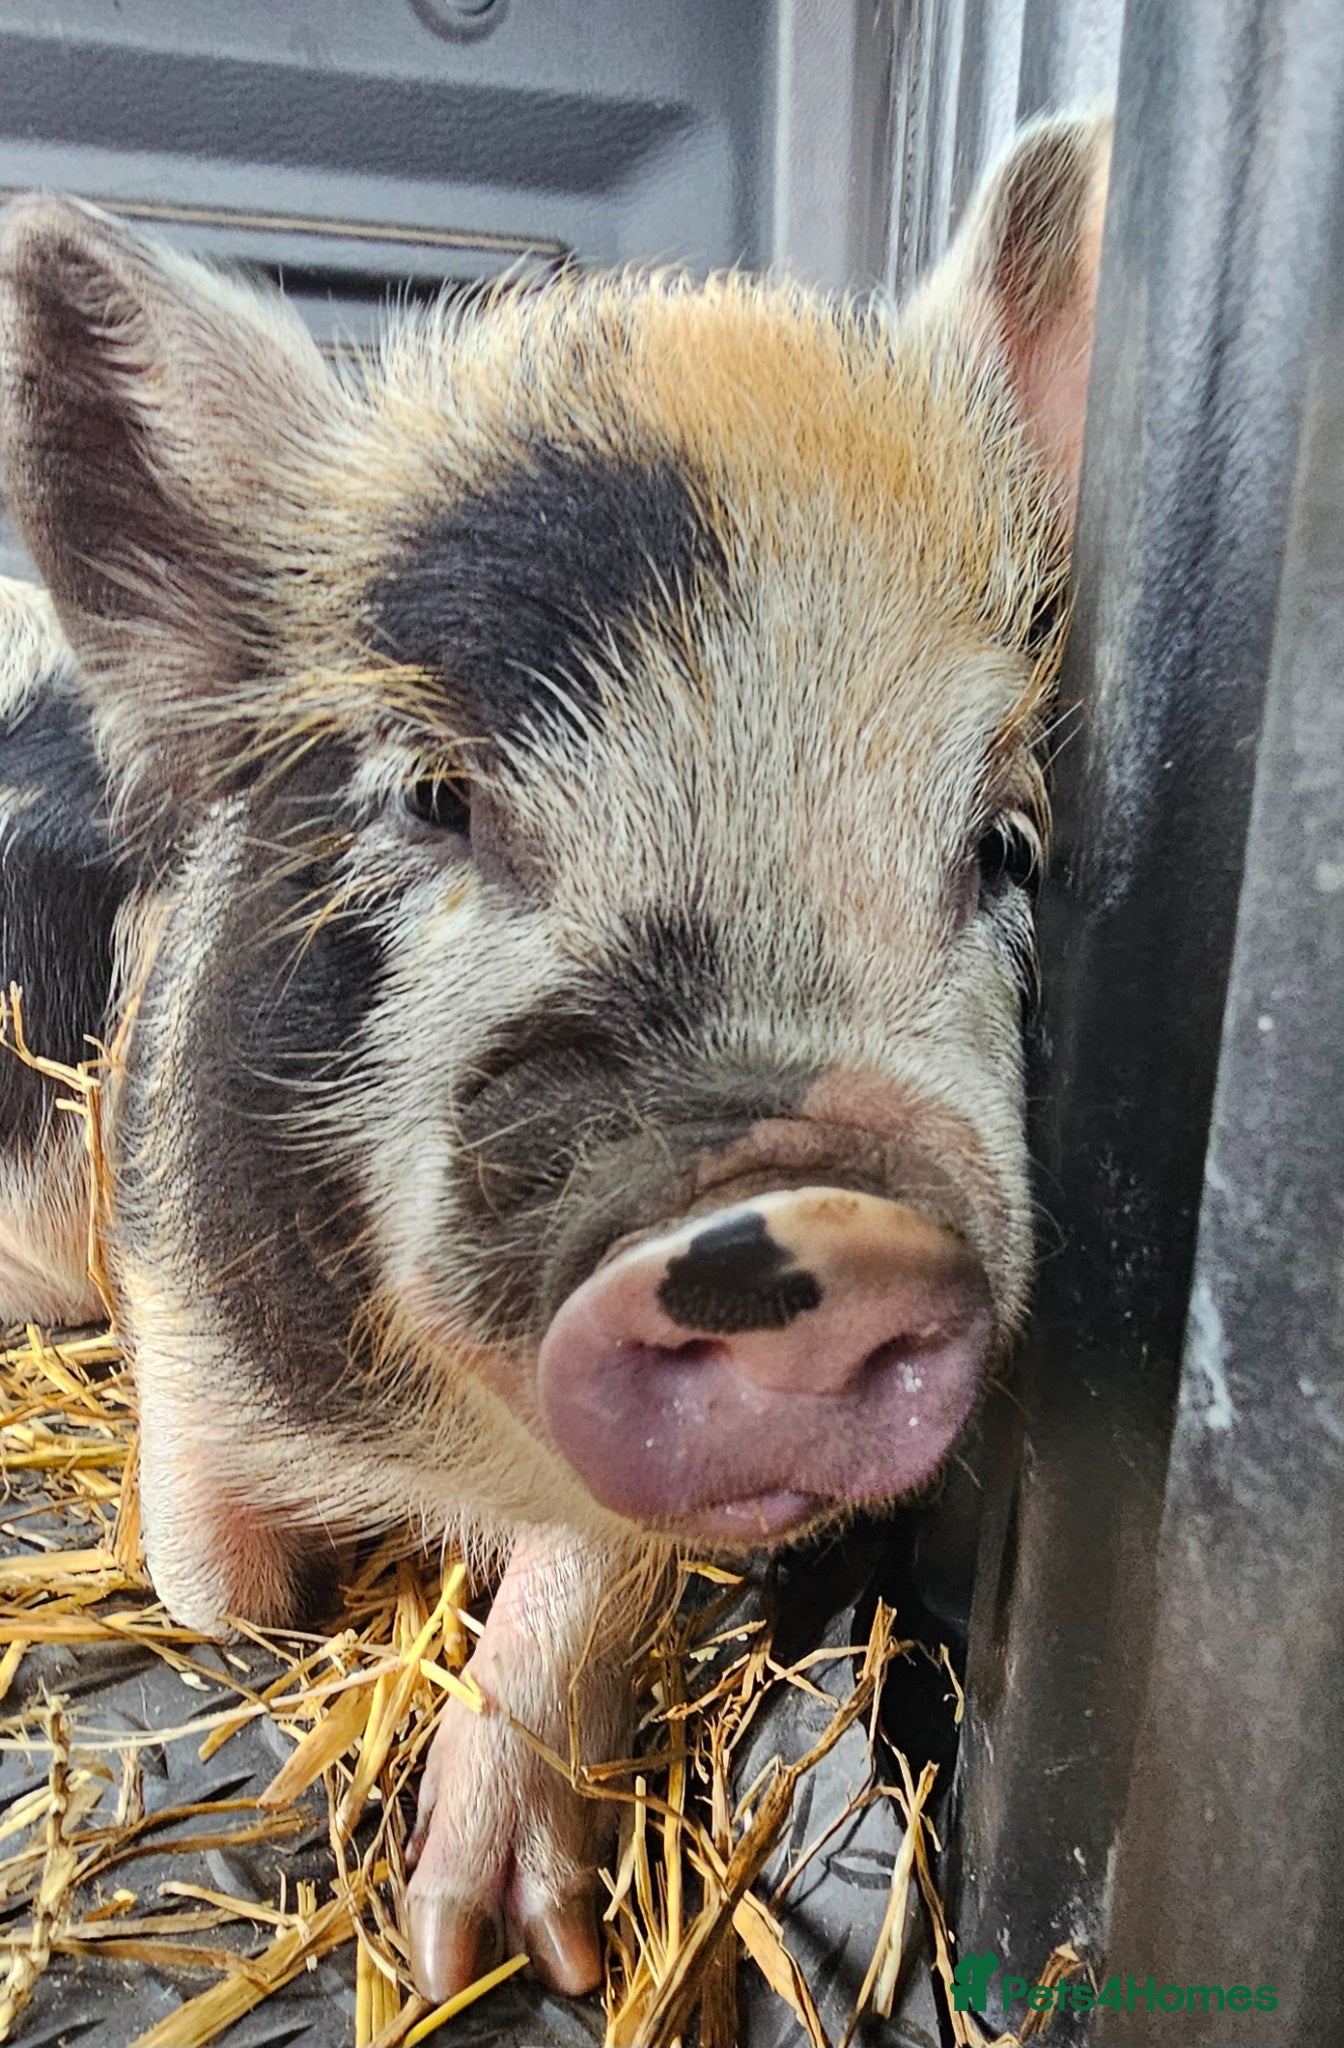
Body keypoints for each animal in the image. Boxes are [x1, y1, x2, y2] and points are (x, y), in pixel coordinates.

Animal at [0, 111, 1109, 2004]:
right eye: (434, 793)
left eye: (1004, 842)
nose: (804, 1212)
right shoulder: (175, 1274)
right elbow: (217, 1583)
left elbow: (589, 1576)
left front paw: (500, 1949)